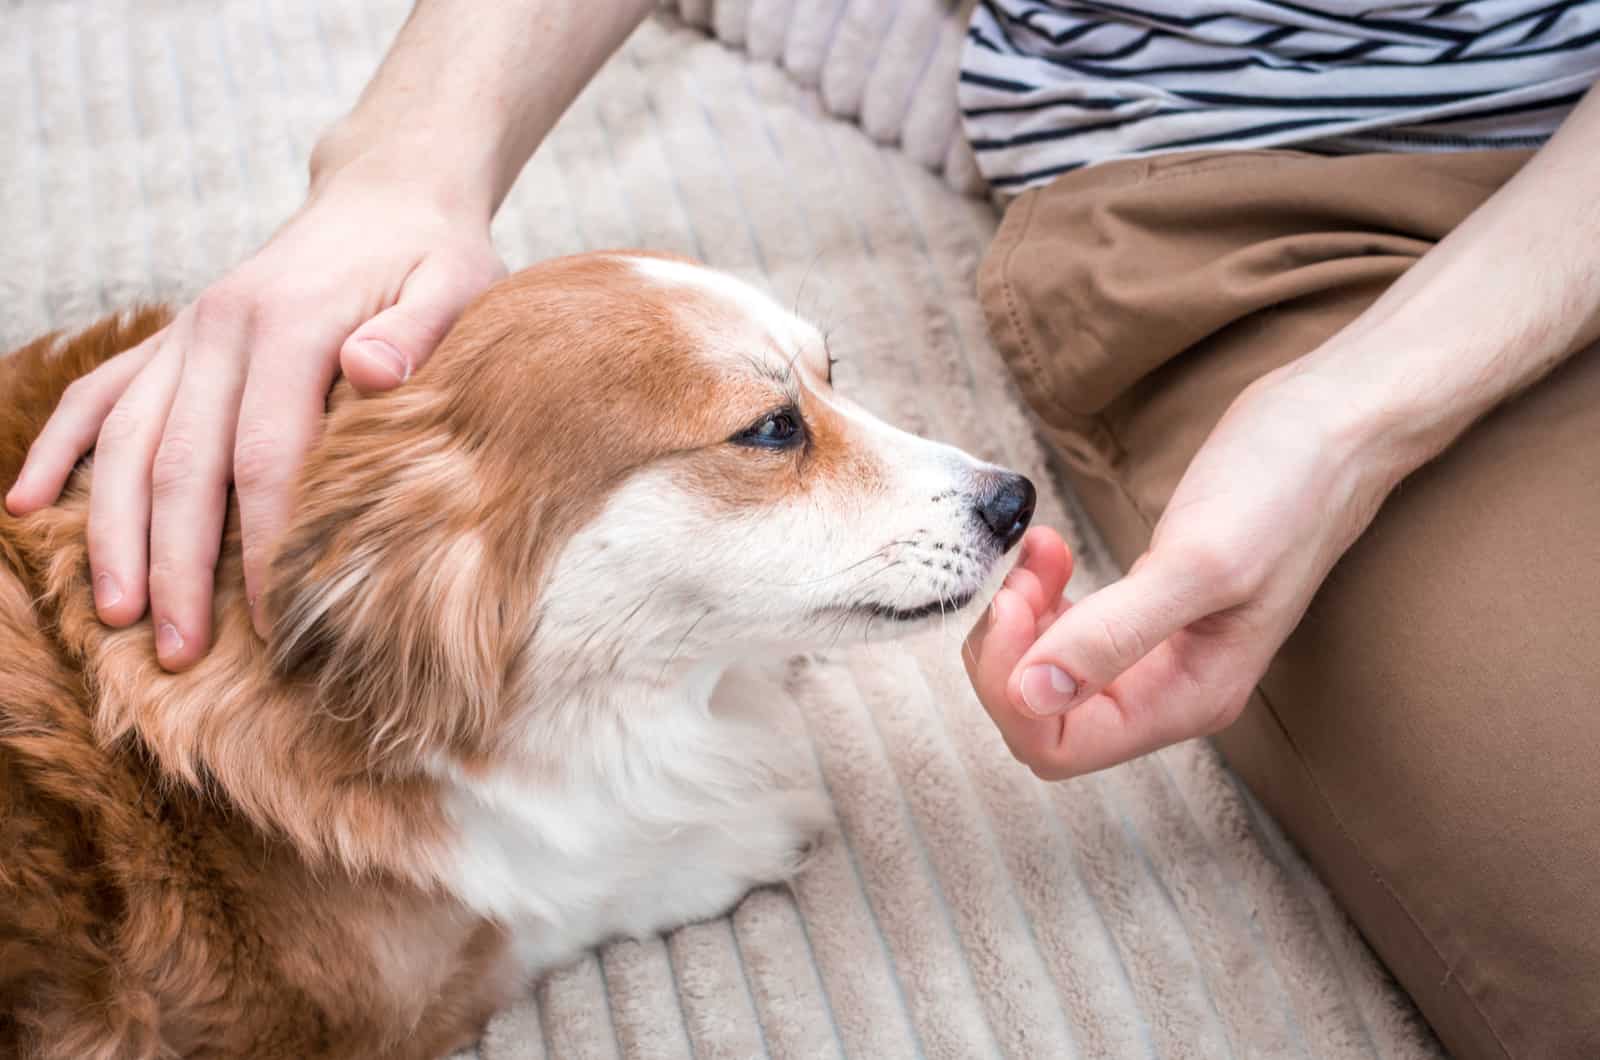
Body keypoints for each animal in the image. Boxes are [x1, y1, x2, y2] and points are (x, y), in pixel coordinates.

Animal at [0, 252, 1036, 1056]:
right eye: (773, 428)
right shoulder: (374, 1005)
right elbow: (551, 899)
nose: (1018, 500)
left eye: (832, 372)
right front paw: (747, 834)